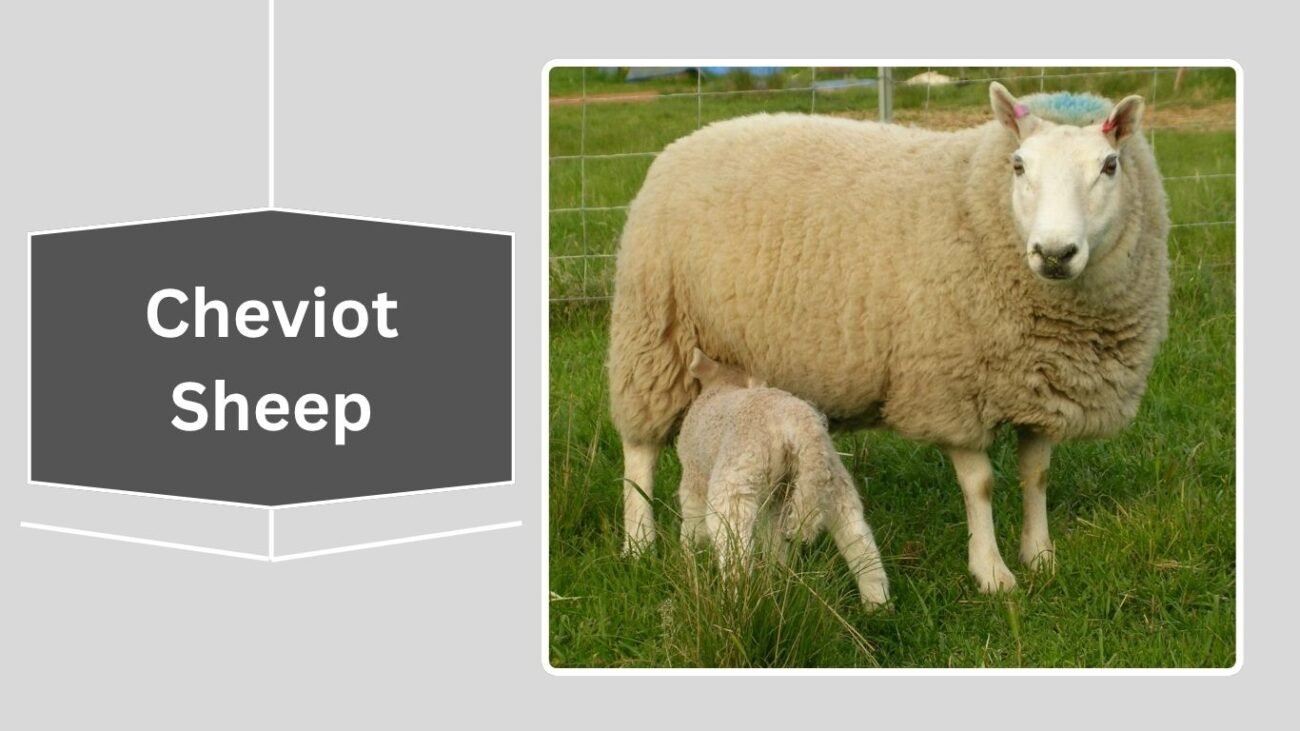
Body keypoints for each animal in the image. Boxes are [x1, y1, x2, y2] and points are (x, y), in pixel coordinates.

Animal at [676, 348, 890, 607]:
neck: (724, 385)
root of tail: (801, 423)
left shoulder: (693, 476)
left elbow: (692, 524)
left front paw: (688, 557)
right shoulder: (775, 499)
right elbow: (773, 539)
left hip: (736, 482)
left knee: (735, 553)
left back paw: (735, 604)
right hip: (828, 479)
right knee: (858, 538)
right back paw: (877, 604)